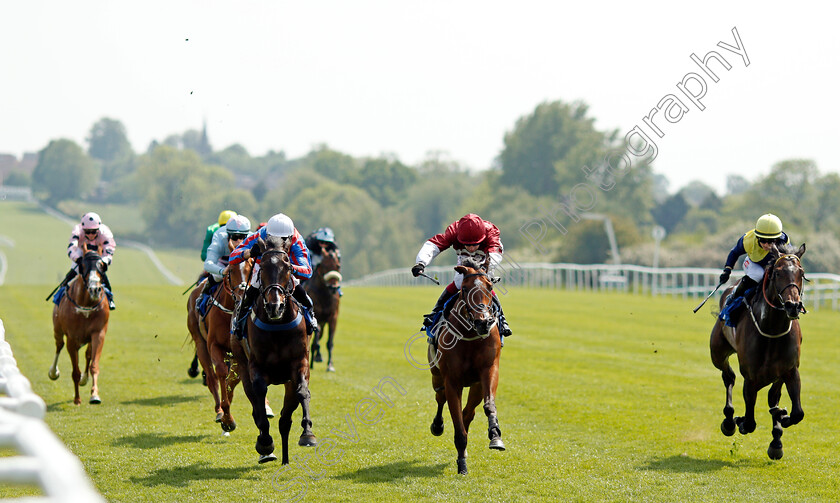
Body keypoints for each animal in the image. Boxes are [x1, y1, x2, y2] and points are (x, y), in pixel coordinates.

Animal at [49, 248, 110, 406]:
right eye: (83, 265)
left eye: (102, 265)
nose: (95, 289)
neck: (86, 305)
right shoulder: (72, 338)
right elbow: (75, 371)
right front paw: (77, 399)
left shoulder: (98, 333)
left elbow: (94, 365)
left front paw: (94, 395)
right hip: (57, 329)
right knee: (59, 345)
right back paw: (53, 372)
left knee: (88, 354)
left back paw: (84, 379)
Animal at [230, 236, 318, 464]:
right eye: (262, 267)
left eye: (287, 266)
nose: (274, 306)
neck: (278, 326)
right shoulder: (256, 367)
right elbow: (260, 398)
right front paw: (265, 442)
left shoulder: (300, 363)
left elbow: (303, 392)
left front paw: (308, 434)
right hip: (242, 365)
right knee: (255, 404)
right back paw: (267, 450)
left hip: (287, 381)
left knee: (285, 419)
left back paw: (286, 458)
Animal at [430, 262, 502, 474]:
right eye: (465, 289)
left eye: (489, 286)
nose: (483, 322)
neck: (471, 334)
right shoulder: (452, 381)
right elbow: (457, 423)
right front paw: (462, 465)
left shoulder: (489, 370)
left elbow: (488, 405)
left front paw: (495, 435)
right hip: (436, 374)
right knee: (440, 397)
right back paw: (437, 426)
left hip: (476, 386)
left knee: (468, 413)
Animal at [708, 244, 808, 460]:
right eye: (777, 273)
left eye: (802, 273)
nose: (793, 306)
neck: (772, 330)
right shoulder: (751, 376)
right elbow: (750, 422)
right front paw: (739, 421)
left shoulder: (790, 370)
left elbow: (796, 412)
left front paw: (781, 421)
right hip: (717, 352)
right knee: (728, 376)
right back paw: (729, 421)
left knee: (771, 395)